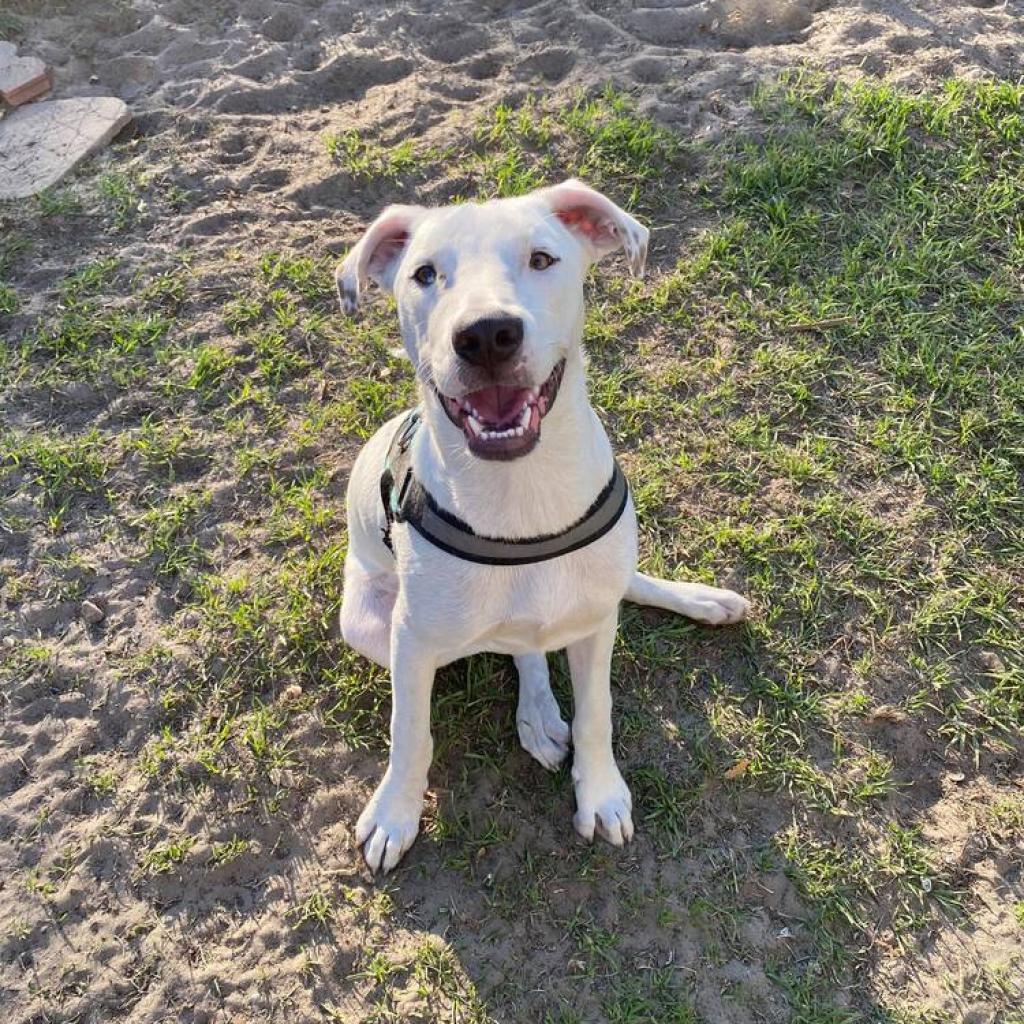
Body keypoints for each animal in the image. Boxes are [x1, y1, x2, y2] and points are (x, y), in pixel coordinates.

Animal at [339, 178, 749, 872]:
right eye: (425, 274)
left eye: (541, 259)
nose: (486, 335)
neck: (520, 500)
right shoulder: (411, 642)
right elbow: (410, 733)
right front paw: (395, 813)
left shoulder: (595, 625)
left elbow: (597, 713)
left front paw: (601, 792)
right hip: (368, 623)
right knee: (514, 645)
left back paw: (700, 602)